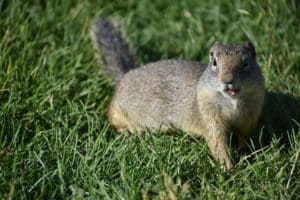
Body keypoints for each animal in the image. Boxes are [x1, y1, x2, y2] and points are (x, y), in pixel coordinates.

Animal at [90, 19, 264, 171]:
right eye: (214, 62)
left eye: (246, 63)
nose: (228, 80)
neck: (232, 102)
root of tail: (124, 76)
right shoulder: (208, 115)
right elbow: (217, 142)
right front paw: (227, 168)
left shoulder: (249, 117)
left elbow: (244, 137)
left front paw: (246, 154)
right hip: (120, 111)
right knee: (114, 120)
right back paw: (132, 131)